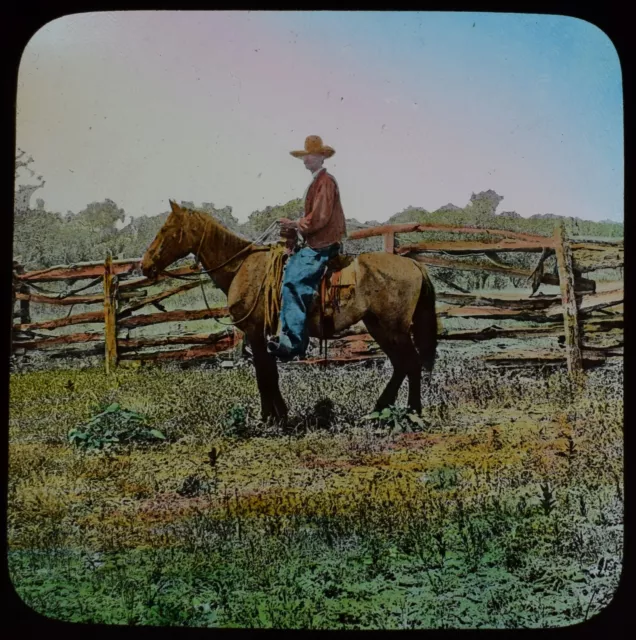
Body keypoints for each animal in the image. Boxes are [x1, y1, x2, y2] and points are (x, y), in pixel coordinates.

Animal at [140, 200, 438, 420]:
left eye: (167, 229)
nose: (145, 265)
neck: (241, 267)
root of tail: (415, 265)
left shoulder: (255, 332)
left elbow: (264, 374)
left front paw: (269, 418)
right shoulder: (262, 334)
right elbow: (269, 372)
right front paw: (278, 414)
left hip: (393, 328)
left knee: (410, 364)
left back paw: (413, 412)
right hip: (379, 327)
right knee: (401, 365)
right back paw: (379, 410)